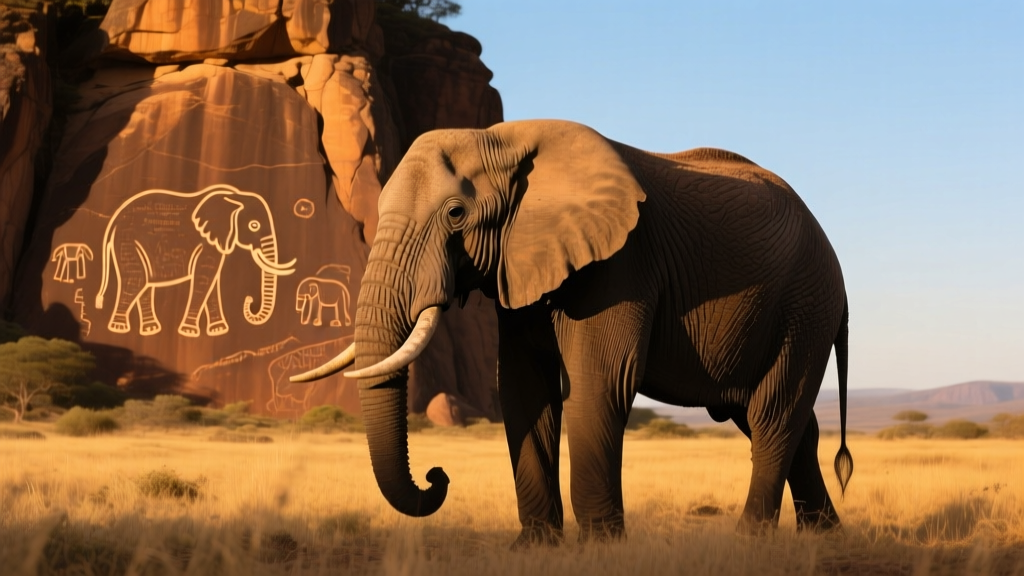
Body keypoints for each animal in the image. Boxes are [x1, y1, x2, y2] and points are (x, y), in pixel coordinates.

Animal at [95, 184, 296, 337]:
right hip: (128, 241)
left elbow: (211, 281)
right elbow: (204, 279)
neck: (233, 196)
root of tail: (114, 221)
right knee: (136, 281)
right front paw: (190, 331)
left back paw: (150, 329)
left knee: (144, 285)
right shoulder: (207, 242)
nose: (249, 300)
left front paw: (218, 330)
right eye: (254, 225)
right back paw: (119, 327)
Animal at [291, 120, 852, 545]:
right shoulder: (520, 265)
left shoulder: (619, 265)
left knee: (772, 414)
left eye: (455, 214)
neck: (503, 140)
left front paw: (602, 547)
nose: (437, 474)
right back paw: (824, 536)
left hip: (806, 305)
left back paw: (749, 540)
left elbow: (600, 385)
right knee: (783, 421)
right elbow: (523, 389)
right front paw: (533, 546)